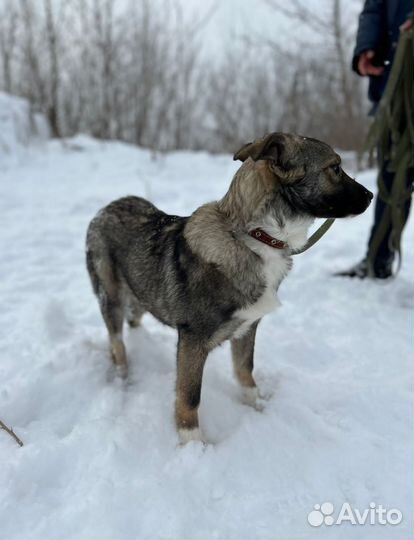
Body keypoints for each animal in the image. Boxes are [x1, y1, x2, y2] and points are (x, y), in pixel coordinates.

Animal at [85, 132, 374, 442]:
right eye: (335, 167)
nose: (371, 196)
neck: (255, 237)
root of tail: (107, 207)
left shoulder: (248, 327)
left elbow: (245, 372)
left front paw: (257, 408)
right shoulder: (193, 340)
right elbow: (189, 396)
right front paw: (192, 444)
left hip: (141, 294)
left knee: (132, 322)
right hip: (111, 296)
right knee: (117, 343)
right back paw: (123, 378)